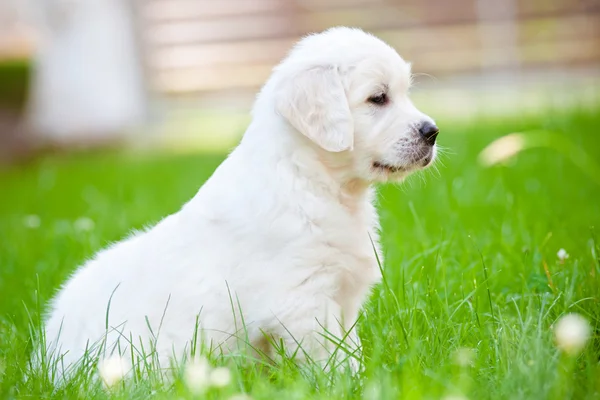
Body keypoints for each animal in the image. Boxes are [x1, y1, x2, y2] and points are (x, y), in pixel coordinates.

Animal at [39, 27, 438, 378]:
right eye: (378, 98)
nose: (432, 132)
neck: (313, 181)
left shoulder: (342, 300)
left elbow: (349, 347)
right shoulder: (302, 302)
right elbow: (331, 358)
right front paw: (349, 383)